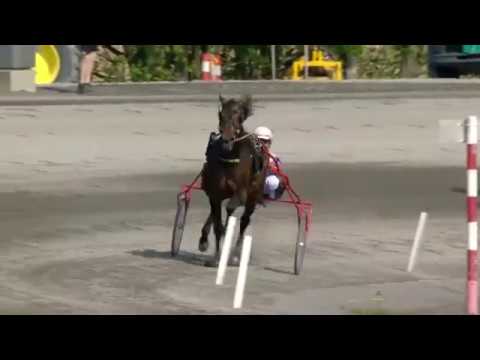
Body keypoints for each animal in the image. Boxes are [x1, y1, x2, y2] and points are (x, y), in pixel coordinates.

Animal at [198, 95, 266, 268]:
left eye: (238, 116)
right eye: (221, 115)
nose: (227, 140)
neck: (229, 158)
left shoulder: (241, 194)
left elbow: (230, 211)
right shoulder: (214, 194)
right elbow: (217, 225)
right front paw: (216, 257)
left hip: (253, 196)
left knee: (244, 220)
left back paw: (235, 255)